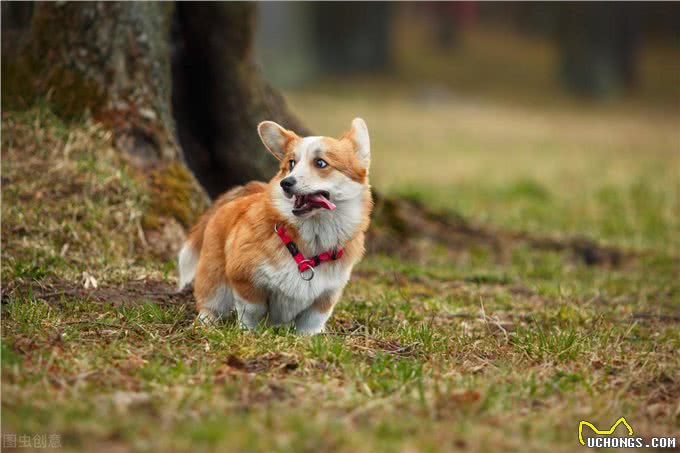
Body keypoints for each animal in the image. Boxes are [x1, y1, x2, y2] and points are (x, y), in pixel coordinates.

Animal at [177, 118, 372, 334]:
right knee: (210, 304)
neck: (312, 241)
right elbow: (251, 311)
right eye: (291, 163)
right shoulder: (245, 280)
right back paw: (206, 323)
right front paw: (249, 333)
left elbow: (311, 323)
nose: (285, 183)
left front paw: (309, 337)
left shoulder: (325, 297)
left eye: (321, 163)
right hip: (215, 281)